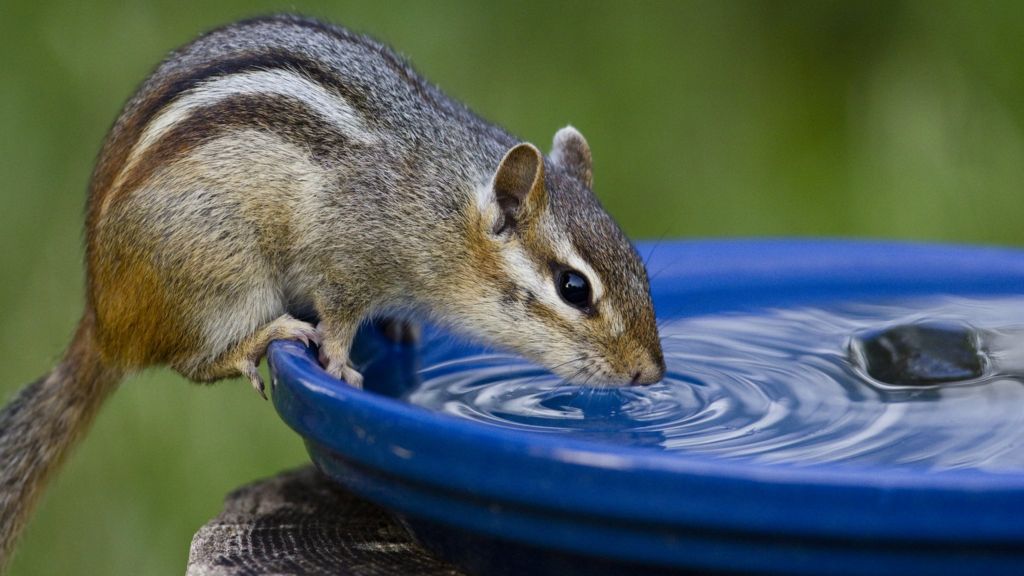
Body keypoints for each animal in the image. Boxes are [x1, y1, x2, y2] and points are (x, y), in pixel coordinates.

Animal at [0, 14, 665, 568]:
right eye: (574, 288)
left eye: (639, 264)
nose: (651, 373)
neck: (442, 206)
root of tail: (103, 317)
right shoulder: (346, 259)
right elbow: (339, 315)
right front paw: (341, 362)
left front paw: (395, 325)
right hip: (220, 274)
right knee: (193, 360)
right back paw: (262, 337)